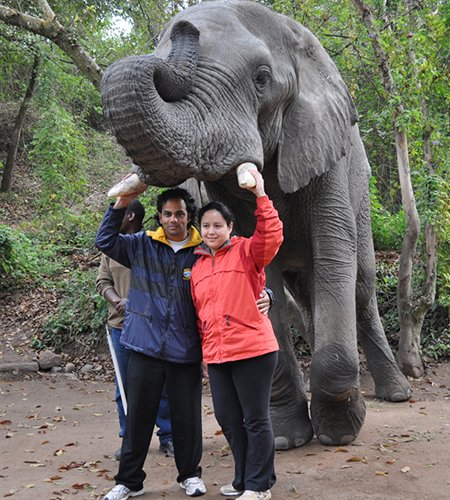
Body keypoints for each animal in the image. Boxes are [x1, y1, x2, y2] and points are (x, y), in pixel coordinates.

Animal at [101, 0, 412, 448]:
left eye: (262, 80)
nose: (184, 28)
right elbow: (260, 276)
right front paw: (285, 439)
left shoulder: (324, 150)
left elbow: (335, 254)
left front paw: (339, 434)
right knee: (307, 291)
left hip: (363, 191)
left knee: (360, 285)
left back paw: (397, 393)